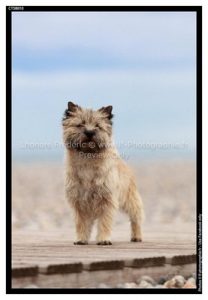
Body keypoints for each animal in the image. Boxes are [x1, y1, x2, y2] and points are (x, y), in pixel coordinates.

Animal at [61, 102, 143, 245]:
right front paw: (81, 239)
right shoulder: (79, 202)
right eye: (80, 124)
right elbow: (81, 223)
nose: (89, 132)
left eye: (98, 126)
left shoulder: (107, 199)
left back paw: (137, 236)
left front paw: (104, 239)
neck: (88, 160)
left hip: (130, 199)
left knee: (136, 216)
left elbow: (104, 221)